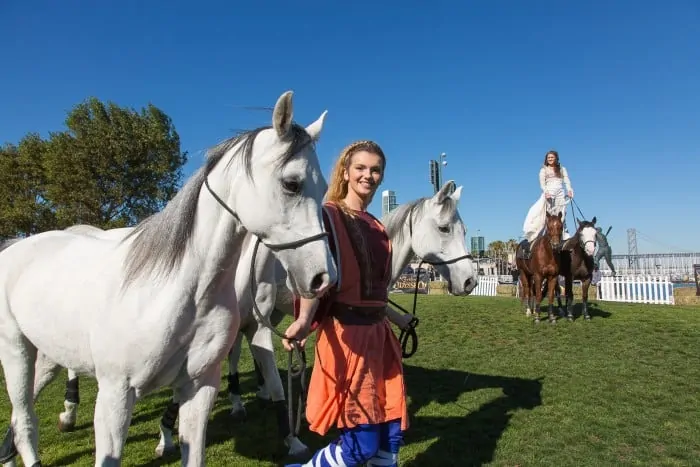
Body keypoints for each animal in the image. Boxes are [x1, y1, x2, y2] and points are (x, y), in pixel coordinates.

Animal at [0, 91, 336, 467]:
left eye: (324, 187)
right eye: (291, 184)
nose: (323, 278)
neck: (180, 292)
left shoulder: (199, 387)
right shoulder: (115, 396)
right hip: (17, 351)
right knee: (25, 420)